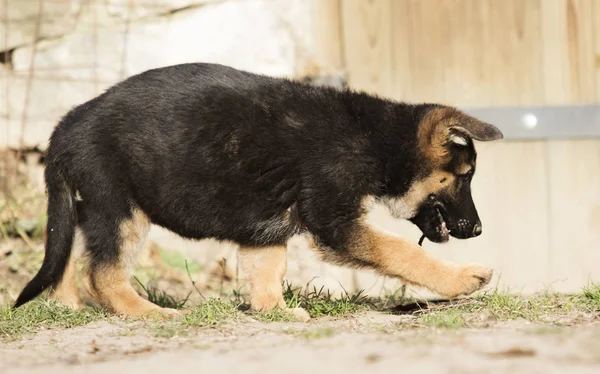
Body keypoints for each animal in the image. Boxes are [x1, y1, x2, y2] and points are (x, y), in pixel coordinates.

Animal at [12, 62, 502, 318]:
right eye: (465, 176)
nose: (479, 231)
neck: (374, 139)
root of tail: (65, 127)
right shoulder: (336, 220)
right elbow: (400, 250)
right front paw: (462, 279)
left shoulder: (267, 224)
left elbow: (267, 270)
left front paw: (275, 311)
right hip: (120, 207)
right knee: (103, 272)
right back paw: (149, 313)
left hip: (93, 205)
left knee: (67, 245)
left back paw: (65, 305)